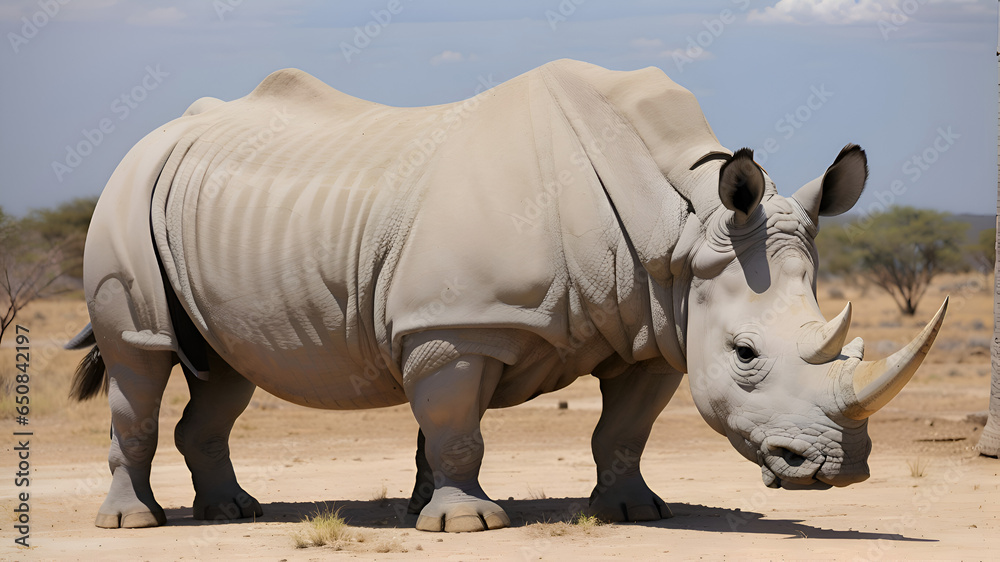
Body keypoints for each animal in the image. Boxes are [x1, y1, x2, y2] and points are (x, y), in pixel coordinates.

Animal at [67, 59, 947, 532]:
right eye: (746, 354)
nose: (835, 469)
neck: (680, 222)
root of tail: (156, 138)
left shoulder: (655, 322)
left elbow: (623, 431)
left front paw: (636, 512)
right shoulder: (457, 325)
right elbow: (457, 429)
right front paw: (466, 522)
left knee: (225, 365)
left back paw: (234, 514)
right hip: (125, 195)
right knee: (140, 358)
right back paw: (135, 523)